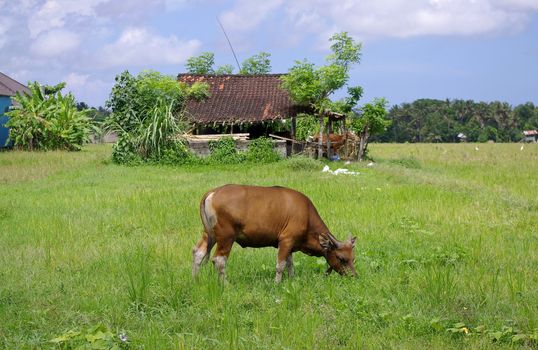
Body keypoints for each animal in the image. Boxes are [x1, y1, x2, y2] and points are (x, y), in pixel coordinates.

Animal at [191, 185, 354, 284]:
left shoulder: (290, 245)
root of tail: (213, 192)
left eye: (353, 259)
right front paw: (277, 283)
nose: (354, 276)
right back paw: (226, 284)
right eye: (342, 258)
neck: (306, 215)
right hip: (226, 237)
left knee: (198, 253)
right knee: (219, 260)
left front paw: (292, 279)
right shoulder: (286, 240)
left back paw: (195, 280)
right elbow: (280, 265)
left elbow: (290, 264)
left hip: (210, 234)